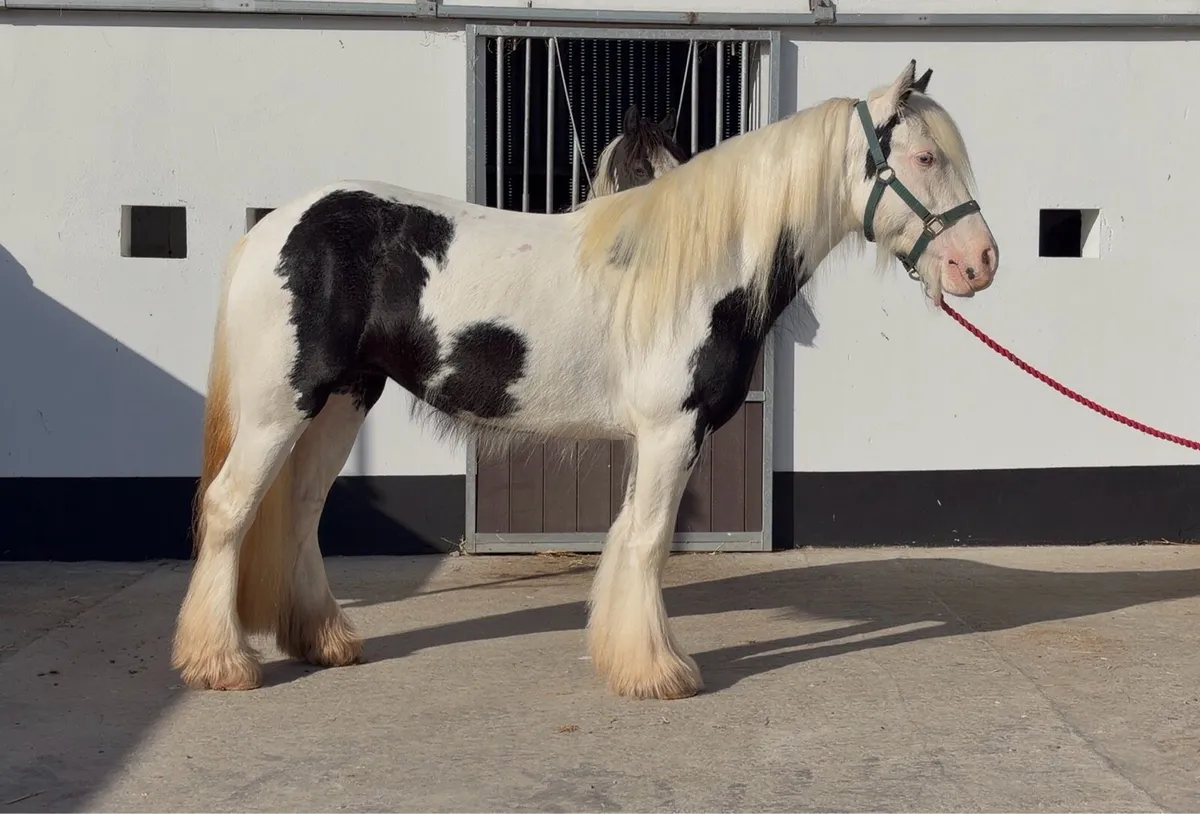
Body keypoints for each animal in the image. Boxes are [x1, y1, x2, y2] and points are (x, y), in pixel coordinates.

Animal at [170, 60, 998, 701]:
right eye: (926, 159)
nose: (981, 262)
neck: (698, 263)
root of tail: (271, 229)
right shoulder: (672, 430)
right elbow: (649, 542)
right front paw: (659, 673)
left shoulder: (654, 438)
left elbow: (630, 537)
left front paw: (628, 658)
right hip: (282, 407)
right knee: (232, 507)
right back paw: (219, 663)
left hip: (342, 402)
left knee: (300, 510)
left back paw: (326, 642)